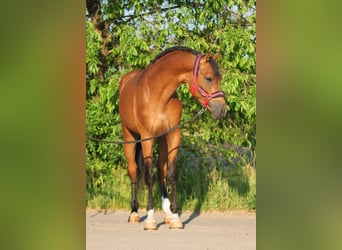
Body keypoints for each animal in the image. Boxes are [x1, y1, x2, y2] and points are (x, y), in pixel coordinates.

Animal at [118, 46, 227, 229]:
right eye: (209, 78)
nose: (222, 110)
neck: (157, 94)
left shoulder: (173, 134)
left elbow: (171, 173)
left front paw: (175, 217)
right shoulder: (147, 137)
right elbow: (149, 176)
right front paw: (150, 220)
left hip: (162, 140)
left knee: (161, 169)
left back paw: (167, 213)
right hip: (130, 137)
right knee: (133, 170)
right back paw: (134, 213)